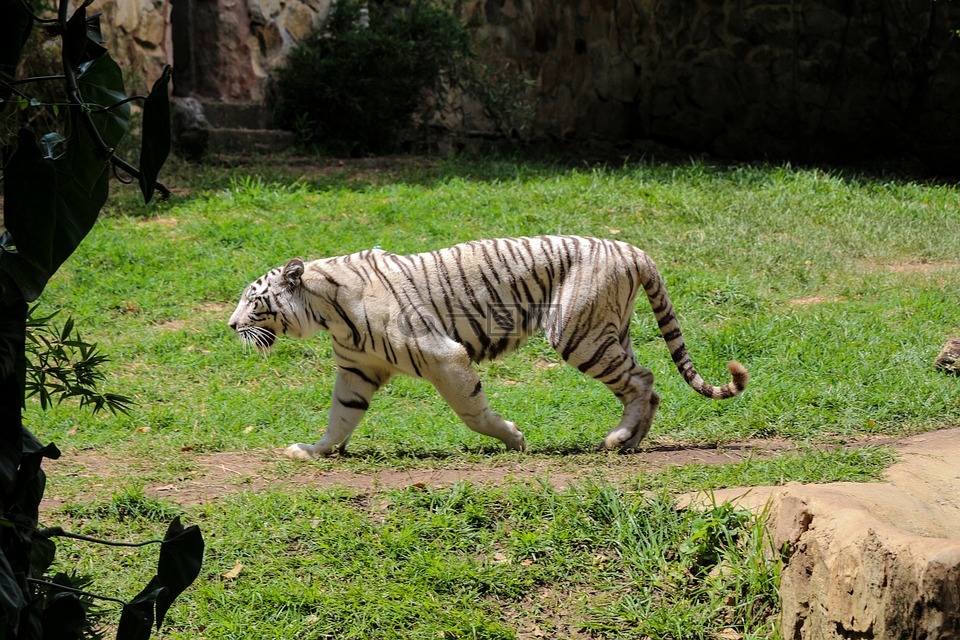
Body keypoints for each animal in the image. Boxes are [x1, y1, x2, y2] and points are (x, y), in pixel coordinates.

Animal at [227, 238, 752, 458]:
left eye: (254, 300)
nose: (231, 325)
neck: (326, 313)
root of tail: (633, 249)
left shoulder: (443, 354)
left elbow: (472, 412)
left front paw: (514, 439)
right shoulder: (356, 372)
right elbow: (340, 417)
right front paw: (312, 451)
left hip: (577, 335)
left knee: (643, 380)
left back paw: (618, 440)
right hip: (607, 332)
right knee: (647, 384)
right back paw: (630, 443)